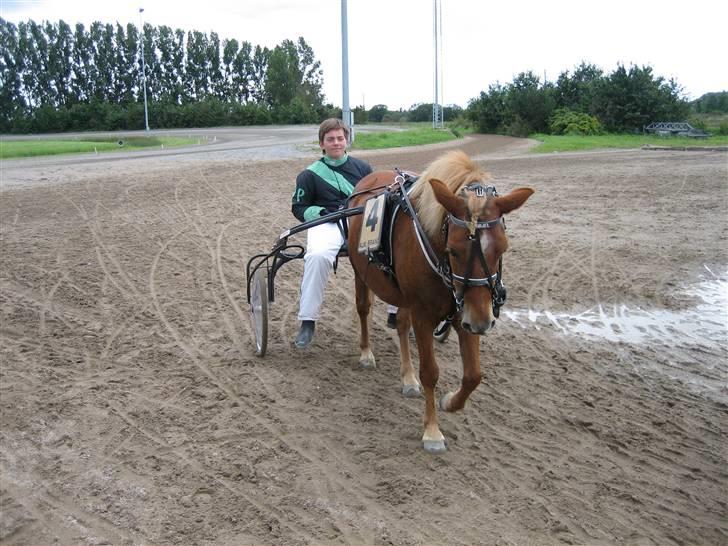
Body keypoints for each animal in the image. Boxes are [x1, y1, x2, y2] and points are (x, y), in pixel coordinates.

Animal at [346, 149, 536, 450]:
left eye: (503, 248)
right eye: (454, 250)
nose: (483, 323)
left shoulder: (464, 310)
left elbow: (473, 375)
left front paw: (450, 402)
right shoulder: (425, 314)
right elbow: (430, 372)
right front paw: (432, 431)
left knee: (402, 324)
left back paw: (407, 376)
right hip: (360, 272)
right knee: (363, 308)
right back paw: (366, 352)